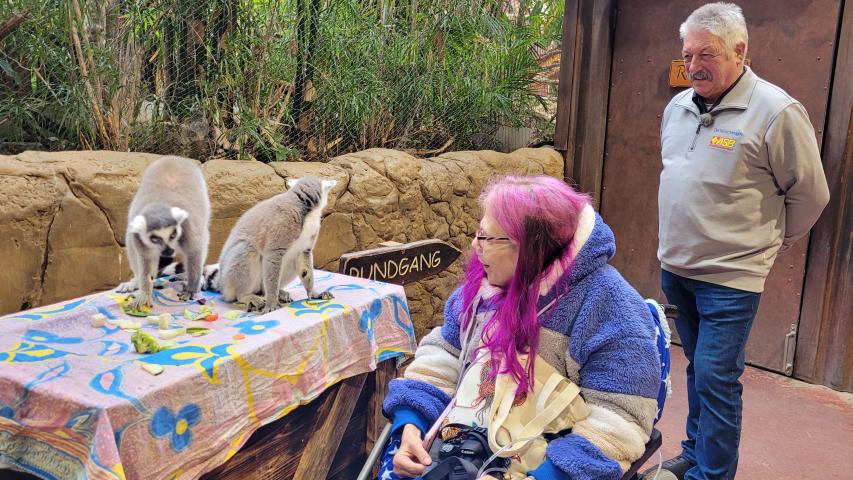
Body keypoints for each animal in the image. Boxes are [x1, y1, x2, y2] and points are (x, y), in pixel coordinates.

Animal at [117, 156, 210, 311]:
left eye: (173, 235)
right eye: (154, 238)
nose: (168, 251)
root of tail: (173, 158)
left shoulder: (187, 227)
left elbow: (194, 251)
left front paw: (191, 289)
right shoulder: (139, 236)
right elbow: (146, 260)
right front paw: (144, 293)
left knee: (203, 238)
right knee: (130, 242)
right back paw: (136, 282)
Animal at [208, 176, 336, 313]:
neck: (305, 210)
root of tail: (222, 284)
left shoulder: (306, 243)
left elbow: (305, 267)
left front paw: (314, 293)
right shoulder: (283, 224)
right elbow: (273, 255)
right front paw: (271, 305)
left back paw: (279, 293)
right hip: (230, 278)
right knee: (246, 251)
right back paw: (247, 296)